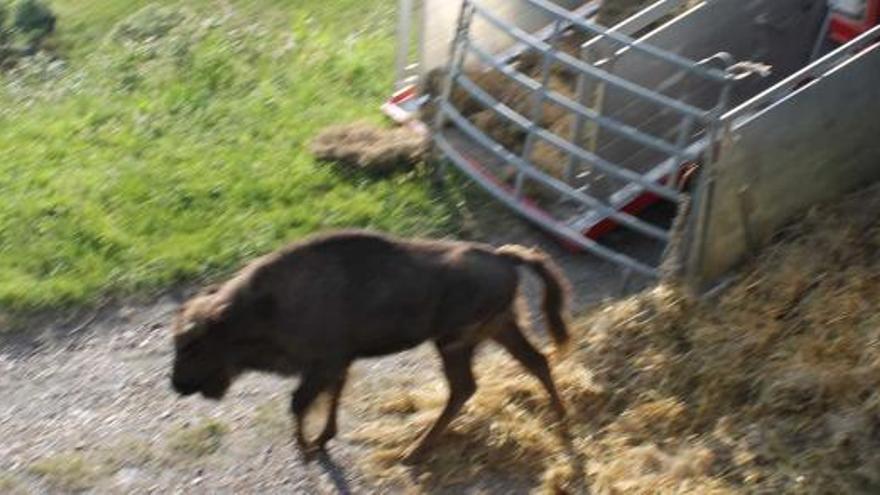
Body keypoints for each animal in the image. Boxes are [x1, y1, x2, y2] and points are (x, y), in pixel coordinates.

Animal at [170, 231, 572, 464]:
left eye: (192, 345)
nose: (177, 384)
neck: (263, 306)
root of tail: (504, 257)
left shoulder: (323, 364)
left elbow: (300, 402)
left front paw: (305, 447)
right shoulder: (337, 364)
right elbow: (329, 396)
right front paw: (321, 440)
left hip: (453, 342)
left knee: (464, 387)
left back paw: (413, 452)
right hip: (499, 329)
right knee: (535, 362)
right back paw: (561, 420)